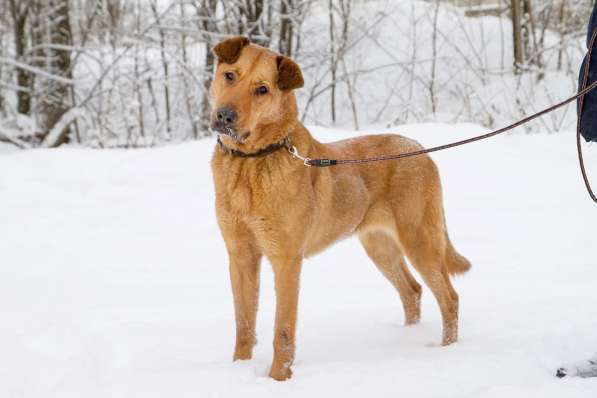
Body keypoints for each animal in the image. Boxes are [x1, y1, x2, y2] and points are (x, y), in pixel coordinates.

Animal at [210, 38, 470, 382]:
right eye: (229, 75)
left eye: (262, 89)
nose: (225, 116)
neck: (251, 163)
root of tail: (419, 149)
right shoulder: (240, 256)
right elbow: (244, 322)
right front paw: (239, 368)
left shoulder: (286, 260)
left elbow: (283, 330)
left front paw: (279, 378)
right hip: (379, 247)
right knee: (412, 291)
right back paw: (405, 338)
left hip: (420, 241)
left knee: (449, 297)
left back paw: (445, 351)